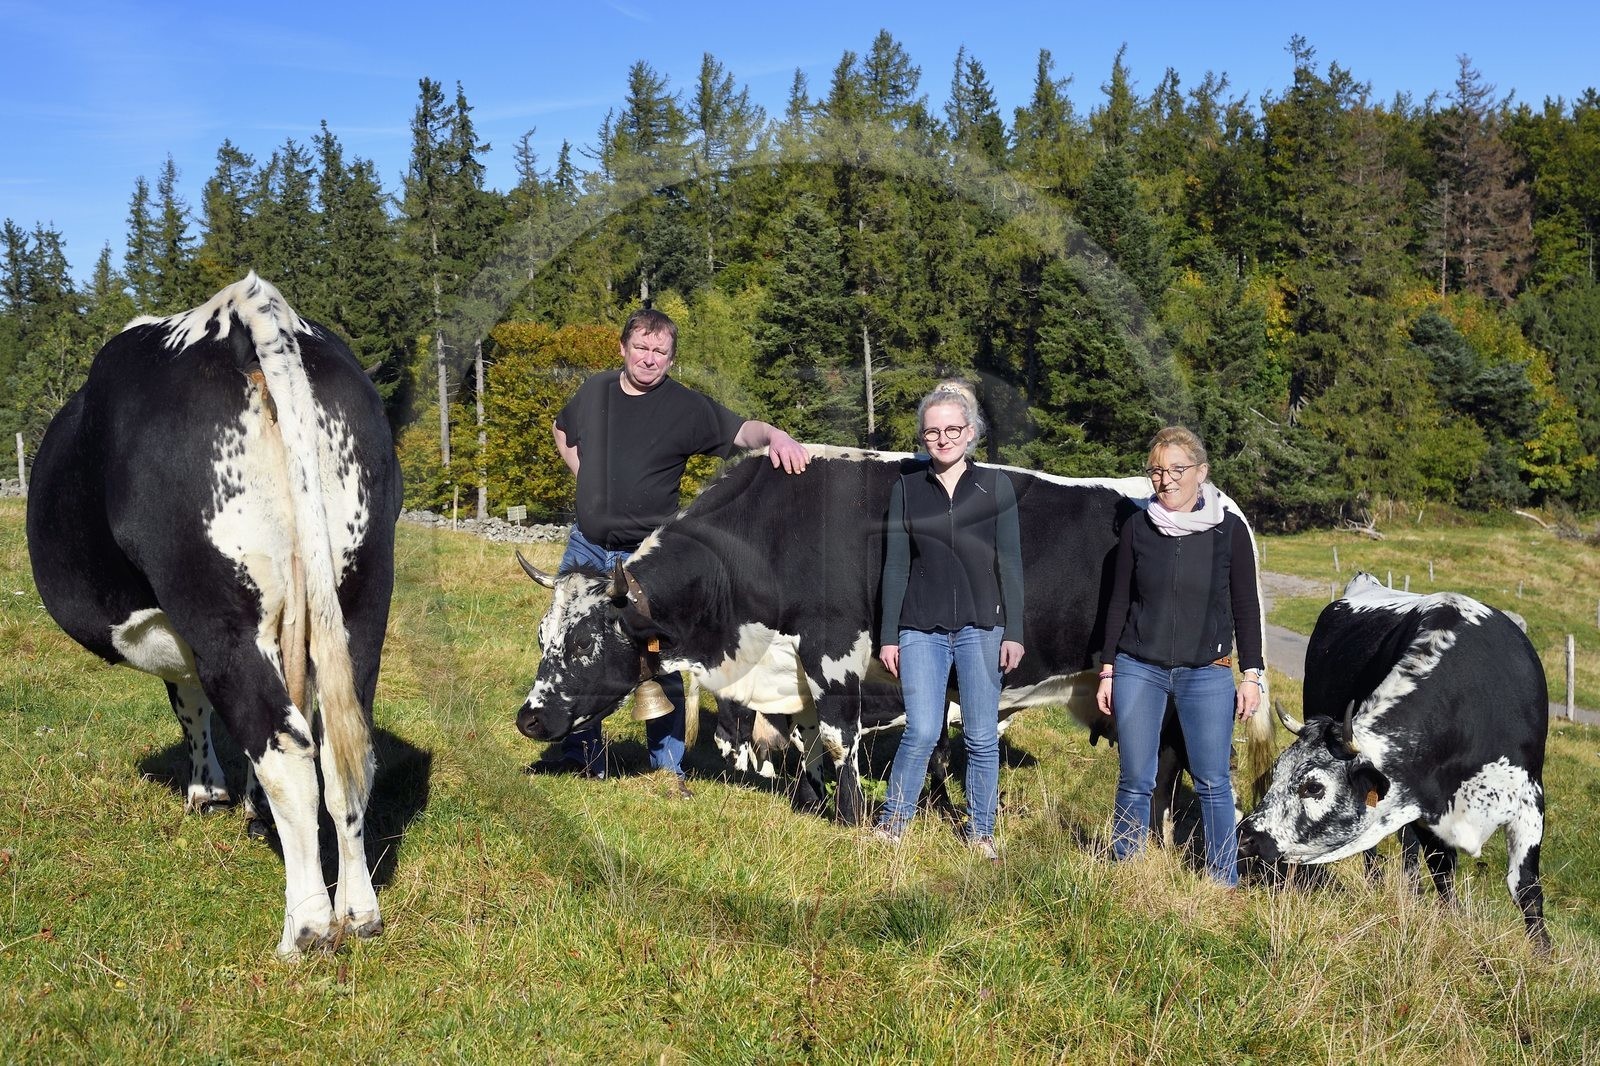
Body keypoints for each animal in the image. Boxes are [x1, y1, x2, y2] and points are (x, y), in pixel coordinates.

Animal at [26, 274, 401, 958]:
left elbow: (191, 707)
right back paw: (358, 913)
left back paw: (307, 927)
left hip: (219, 615)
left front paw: (207, 791)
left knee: (287, 749)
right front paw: (243, 802)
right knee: (341, 749)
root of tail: (238, 313)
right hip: (361, 595)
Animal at [515, 448, 1274, 826]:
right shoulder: (795, 666)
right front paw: (808, 800)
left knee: (1180, 754)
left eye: (584, 644)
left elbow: (835, 735)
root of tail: (1225, 506)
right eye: (543, 634)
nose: (528, 719)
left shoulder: (834, 650)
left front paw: (851, 817)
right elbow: (801, 737)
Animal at [1236, 572, 1549, 949]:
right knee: (1397, 853)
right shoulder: (1425, 806)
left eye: (1314, 787)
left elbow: (1526, 888)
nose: (1246, 836)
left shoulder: (1529, 799)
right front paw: (1450, 920)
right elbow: (1441, 868)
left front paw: (1543, 954)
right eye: (1276, 772)